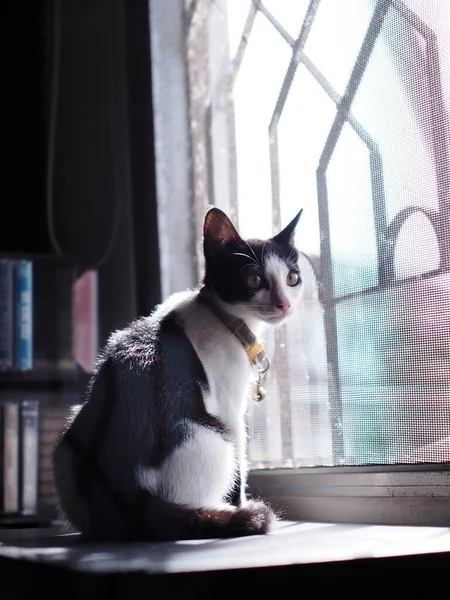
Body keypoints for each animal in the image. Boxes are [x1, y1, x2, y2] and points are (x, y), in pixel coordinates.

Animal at [53, 205, 302, 540]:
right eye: (253, 279)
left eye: (292, 278)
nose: (284, 303)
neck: (225, 318)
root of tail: (135, 501)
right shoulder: (229, 407)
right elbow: (242, 461)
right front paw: (239, 505)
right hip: (212, 436)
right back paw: (221, 514)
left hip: (68, 442)